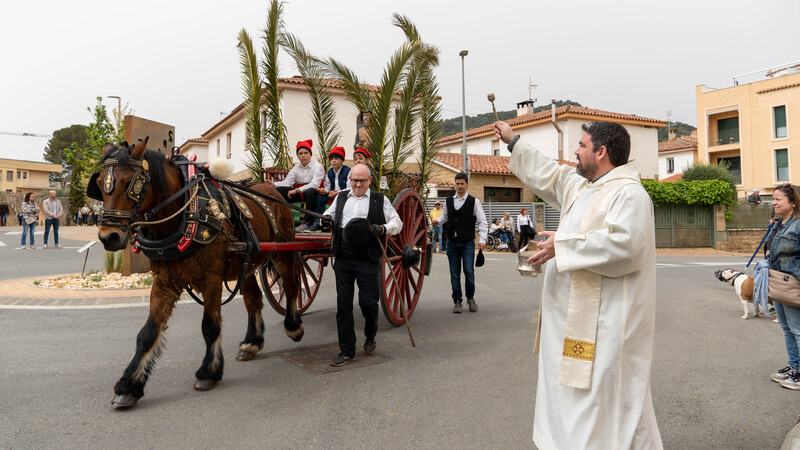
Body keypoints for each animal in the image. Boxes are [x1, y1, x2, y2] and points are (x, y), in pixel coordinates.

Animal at [90, 141, 304, 408]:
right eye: (100, 184)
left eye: (132, 182)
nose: (108, 237)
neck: (186, 213)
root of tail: (272, 189)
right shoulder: (163, 282)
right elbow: (147, 332)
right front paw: (129, 385)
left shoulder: (211, 279)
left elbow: (210, 326)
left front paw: (208, 372)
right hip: (246, 264)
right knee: (253, 299)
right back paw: (251, 343)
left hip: (282, 253)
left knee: (292, 286)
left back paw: (294, 326)